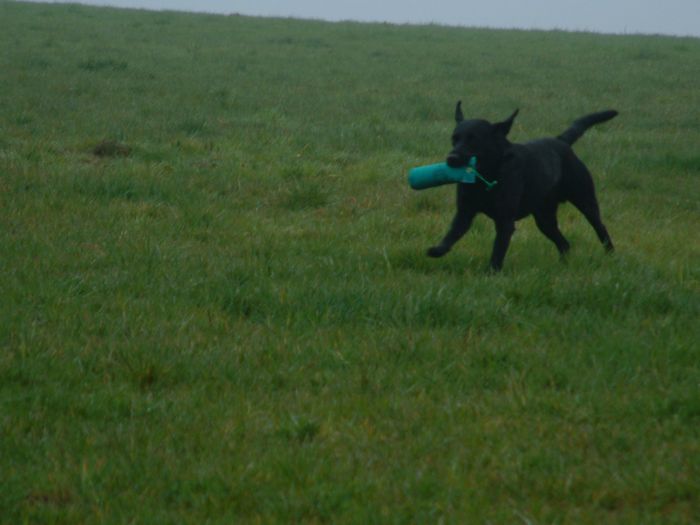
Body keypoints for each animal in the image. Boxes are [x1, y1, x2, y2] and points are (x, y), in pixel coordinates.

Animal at [427, 102, 617, 271]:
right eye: (454, 138)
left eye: (474, 140)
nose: (451, 158)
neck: (489, 176)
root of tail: (561, 141)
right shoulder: (465, 212)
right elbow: (452, 233)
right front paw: (438, 250)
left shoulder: (505, 221)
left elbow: (498, 249)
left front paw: (492, 272)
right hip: (544, 218)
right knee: (564, 243)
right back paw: (564, 265)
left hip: (585, 201)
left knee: (600, 228)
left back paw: (611, 255)